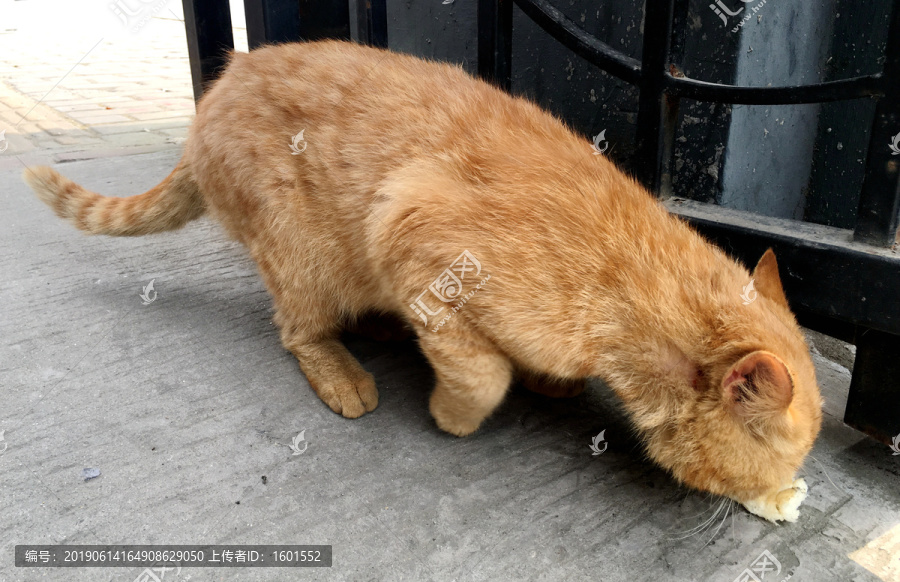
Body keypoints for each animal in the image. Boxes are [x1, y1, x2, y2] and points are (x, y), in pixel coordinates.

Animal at [22, 41, 824, 524]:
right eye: (782, 462)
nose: (784, 494)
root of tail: (217, 87)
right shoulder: (412, 229)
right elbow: (482, 374)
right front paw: (452, 413)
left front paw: (548, 382)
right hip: (305, 253)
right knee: (297, 328)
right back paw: (344, 368)